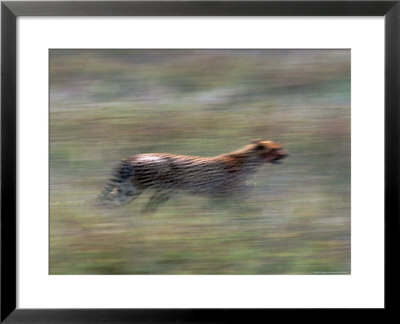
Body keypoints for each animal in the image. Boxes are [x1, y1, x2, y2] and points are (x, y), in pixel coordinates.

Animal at [99, 139, 288, 213]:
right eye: (277, 148)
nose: (287, 154)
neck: (251, 162)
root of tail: (133, 156)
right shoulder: (225, 196)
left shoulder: (221, 197)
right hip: (158, 189)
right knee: (144, 208)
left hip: (131, 189)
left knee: (110, 202)